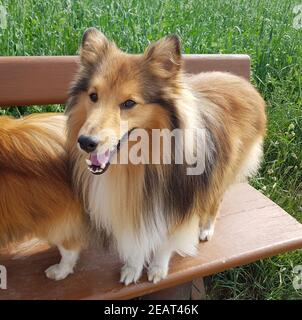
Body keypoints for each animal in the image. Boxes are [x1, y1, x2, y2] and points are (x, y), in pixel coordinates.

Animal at [66, 28, 266, 284]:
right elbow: (136, 242)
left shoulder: (175, 204)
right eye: (93, 96)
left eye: (129, 103)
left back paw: (206, 228)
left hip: (225, 169)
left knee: (215, 199)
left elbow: (165, 243)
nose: (85, 143)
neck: (140, 165)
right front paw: (133, 268)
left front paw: (157, 270)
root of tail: (243, 82)